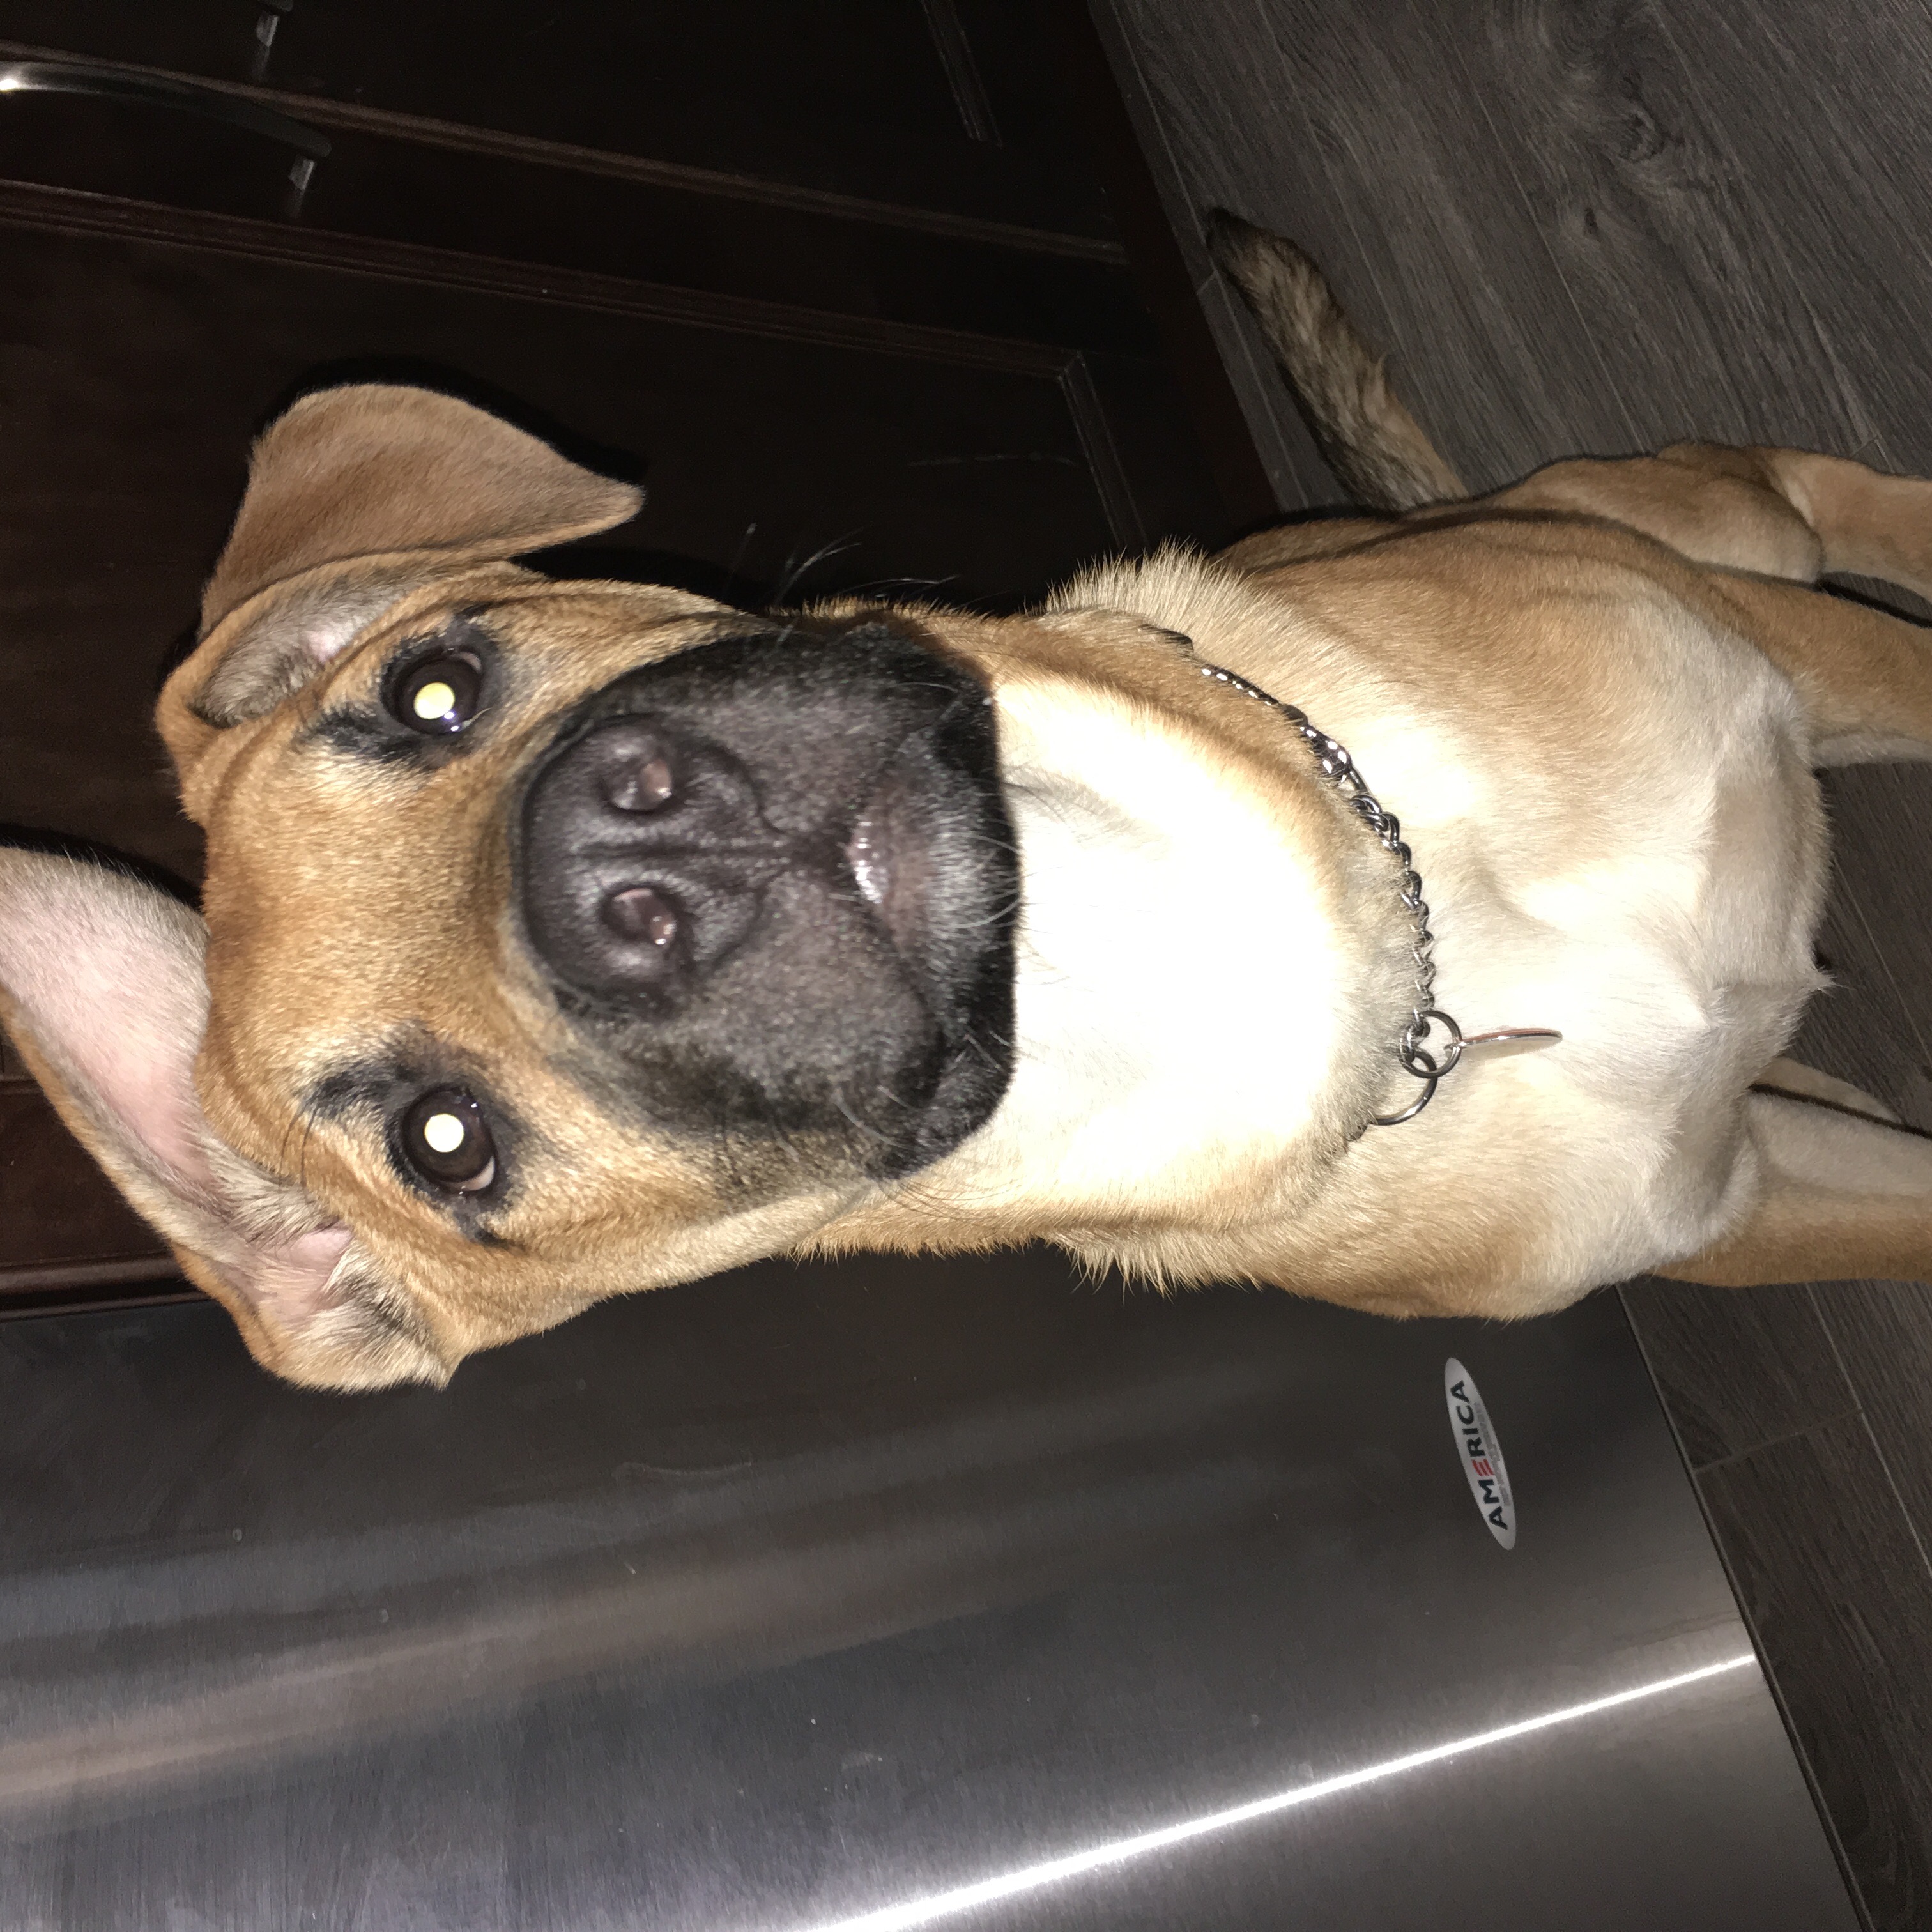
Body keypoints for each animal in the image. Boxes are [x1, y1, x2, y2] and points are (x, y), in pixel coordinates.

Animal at [6, 216, 1932, 1392]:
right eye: (444, 1145)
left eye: (431, 691)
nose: (633, 857)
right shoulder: (1756, 1191)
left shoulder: (1786, 658)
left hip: (1713, 538)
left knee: (1822, 490)